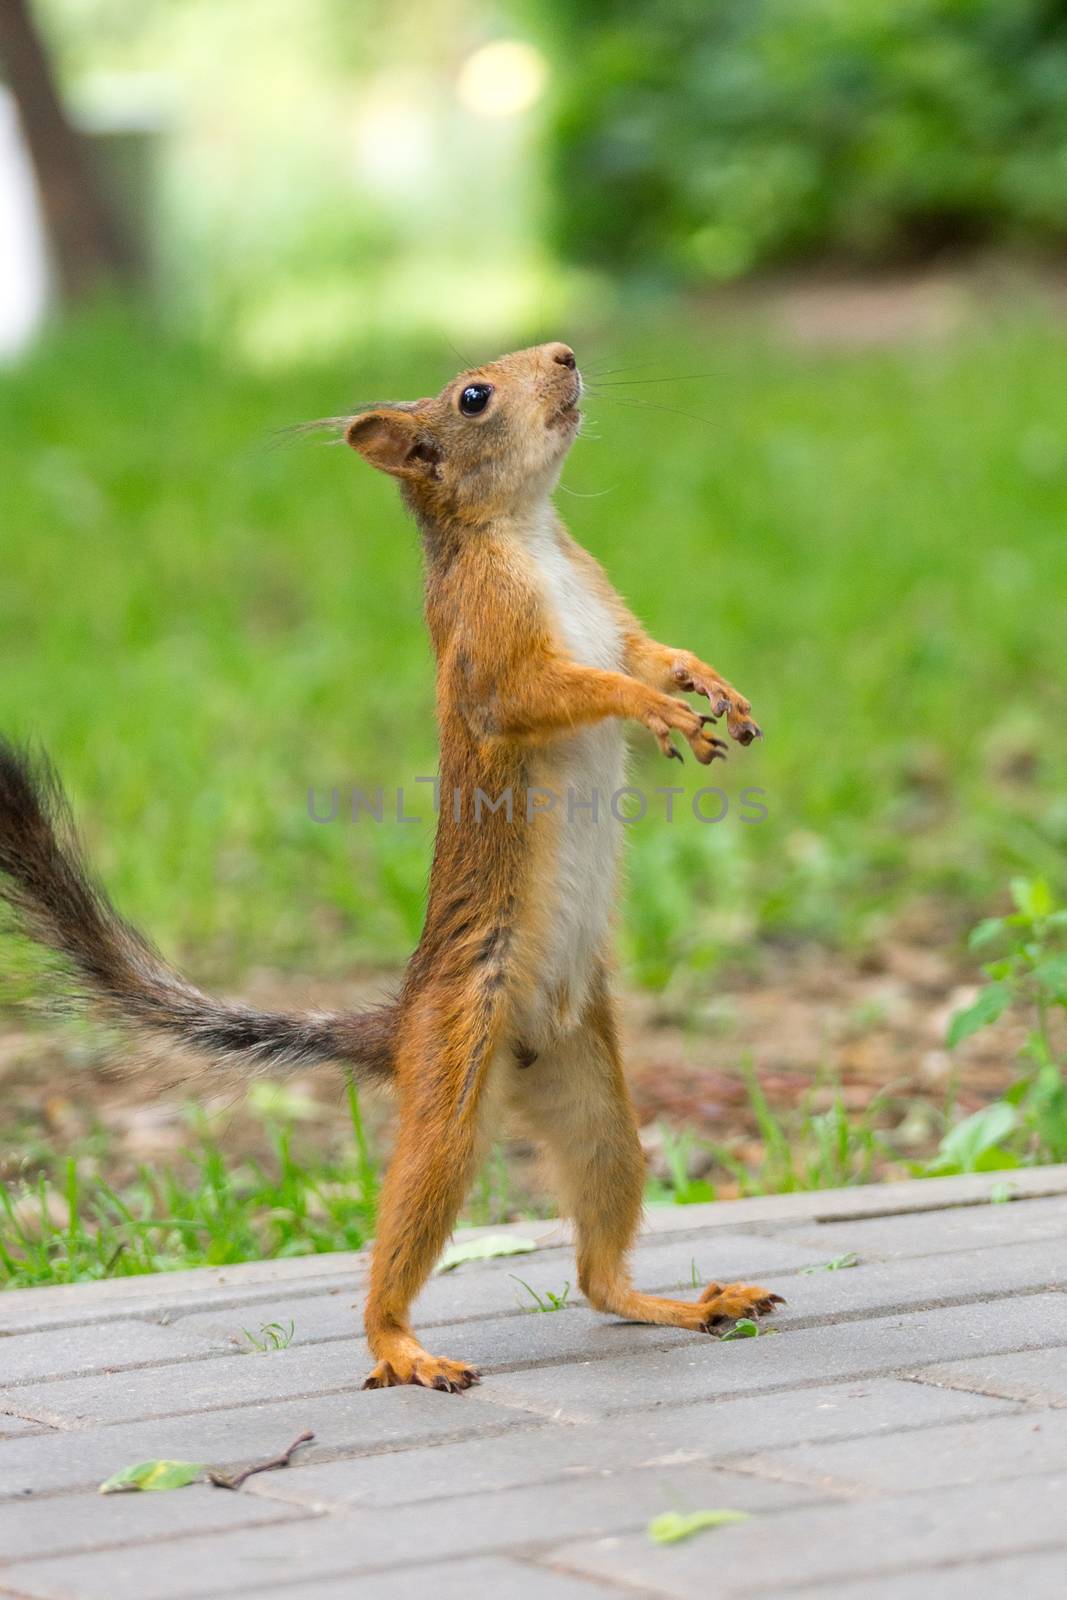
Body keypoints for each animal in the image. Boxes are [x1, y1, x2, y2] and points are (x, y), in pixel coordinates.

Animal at [2, 344, 783, 1395]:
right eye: (473, 397)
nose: (566, 353)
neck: (528, 533)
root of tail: (411, 1024)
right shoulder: (487, 648)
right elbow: (551, 691)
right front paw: (652, 711)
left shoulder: (608, 609)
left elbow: (648, 652)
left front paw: (705, 684)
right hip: (454, 1071)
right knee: (408, 1228)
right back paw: (401, 1349)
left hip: (593, 1097)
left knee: (596, 1271)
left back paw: (684, 1302)